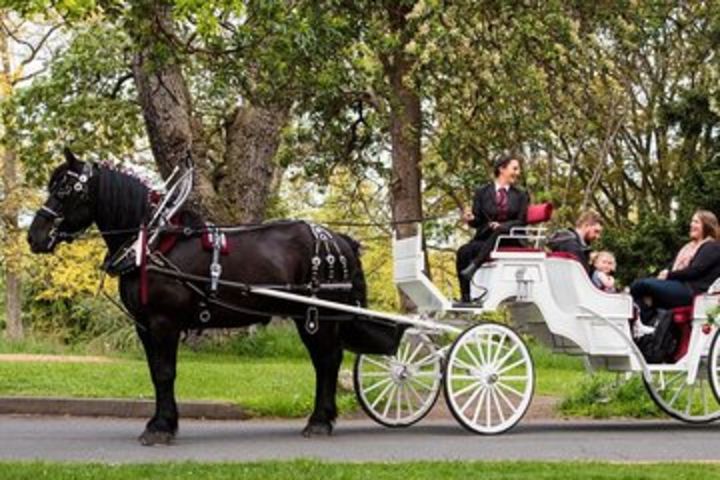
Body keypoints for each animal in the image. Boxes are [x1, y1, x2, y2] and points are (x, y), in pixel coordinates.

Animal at [28, 151, 400, 446]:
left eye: (64, 189)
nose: (35, 236)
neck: (155, 241)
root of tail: (338, 238)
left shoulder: (163, 322)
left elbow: (165, 372)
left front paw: (161, 428)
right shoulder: (144, 326)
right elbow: (154, 373)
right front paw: (160, 421)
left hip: (317, 315)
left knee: (327, 362)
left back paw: (320, 421)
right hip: (307, 315)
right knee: (326, 361)